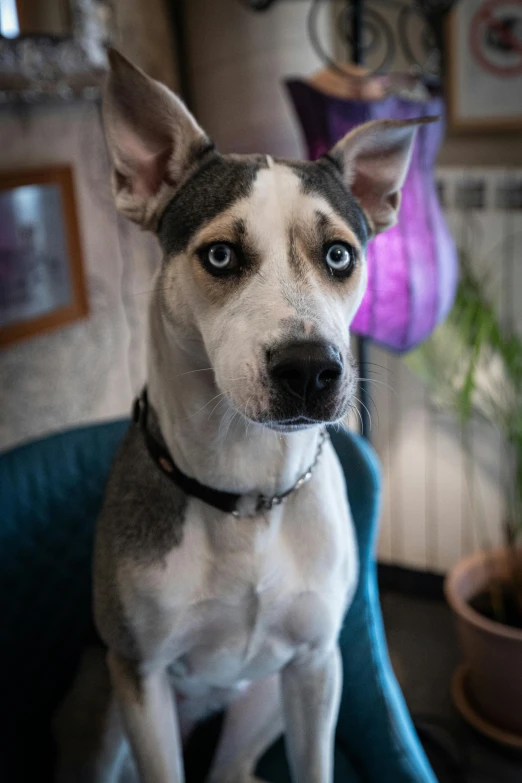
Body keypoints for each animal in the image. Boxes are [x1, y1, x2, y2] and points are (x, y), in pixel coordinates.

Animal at [51, 50, 426, 783]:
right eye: (220, 255)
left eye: (339, 254)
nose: (310, 368)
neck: (247, 491)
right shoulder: (139, 676)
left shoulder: (316, 665)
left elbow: (315, 762)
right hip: (104, 708)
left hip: (263, 701)